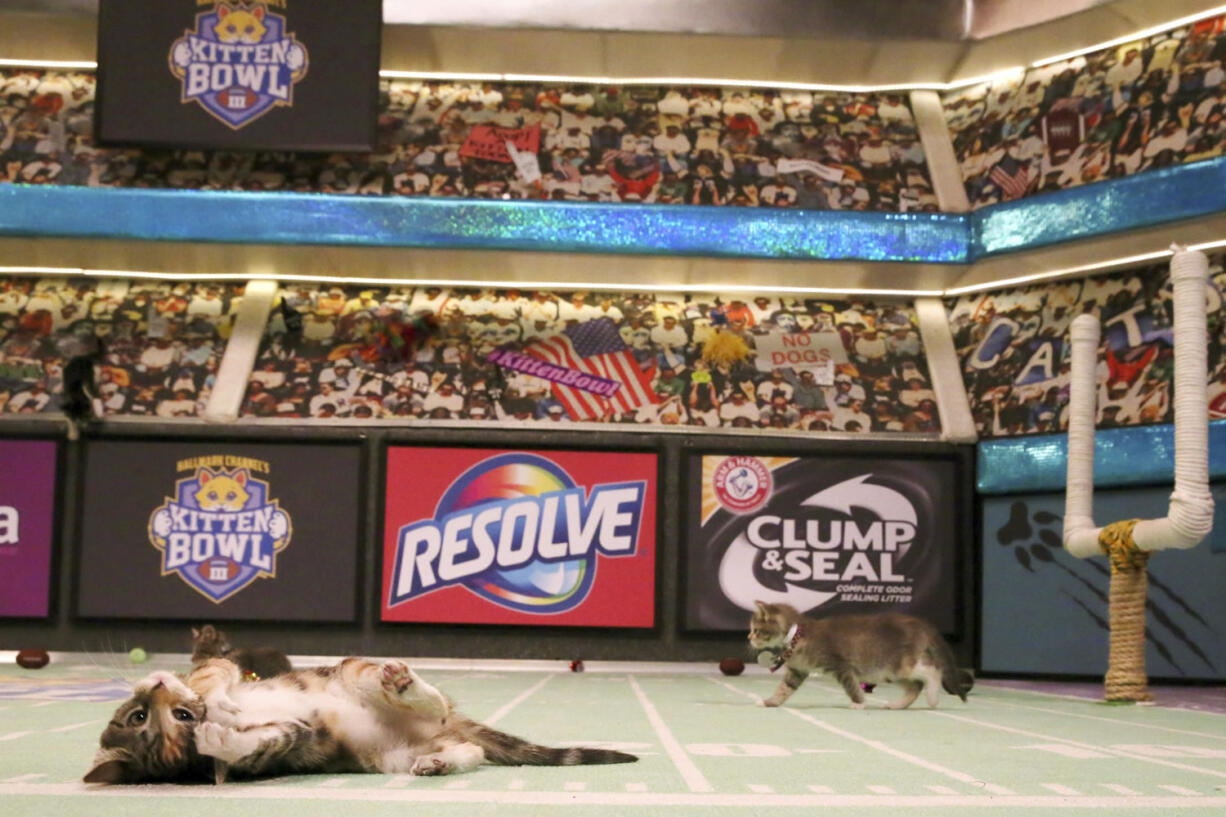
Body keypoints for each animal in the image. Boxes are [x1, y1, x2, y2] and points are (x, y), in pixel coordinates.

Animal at [740, 598, 970, 706]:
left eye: (756, 630)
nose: (748, 638)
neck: (798, 634)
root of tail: (919, 623)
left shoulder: (841, 665)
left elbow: (851, 685)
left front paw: (859, 703)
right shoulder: (797, 670)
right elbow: (784, 689)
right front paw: (769, 702)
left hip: (898, 664)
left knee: (933, 670)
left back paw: (932, 698)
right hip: (888, 672)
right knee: (915, 686)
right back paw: (896, 705)